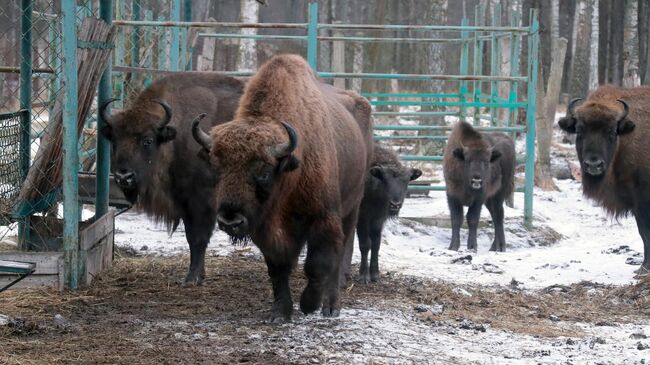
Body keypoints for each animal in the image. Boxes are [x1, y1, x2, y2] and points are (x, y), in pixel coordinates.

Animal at [98, 72, 243, 284]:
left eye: (148, 140)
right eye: (115, 140)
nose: (124, 176)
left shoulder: (202, 200)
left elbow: (199, 237)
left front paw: (191, 279)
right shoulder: (184, 201)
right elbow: (191, 237)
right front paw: (198, 275)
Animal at [192, 54, 372, 322]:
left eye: (265, 172)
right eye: (217, 168)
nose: (230, 221)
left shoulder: (324, 217)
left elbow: (317, 265)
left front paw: (308, 304)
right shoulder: (266, 228)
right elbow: (278, 269)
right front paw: (279, 313)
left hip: (352, 206)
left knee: (339, 256)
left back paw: (331, 307)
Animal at [354, 144, 420, 282]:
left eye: (406, 181)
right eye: (384, 179)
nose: (395, 204)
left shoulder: (378, 220)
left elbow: (376, 244)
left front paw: (375, 275)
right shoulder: (362, 218)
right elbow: (365, 244)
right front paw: (364, 276)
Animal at [442, 121, 512, 252]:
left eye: (486, 161)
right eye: (468, 160)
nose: (477, 178)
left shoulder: (479, 198)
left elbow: (472, 219)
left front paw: (472, 247)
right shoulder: (452, 195)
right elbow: (456, 219)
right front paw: (453, 247)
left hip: (499, 194)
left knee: (498, 215)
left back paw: (500, 247)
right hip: (489, 200)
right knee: (494, 215)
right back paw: (494, 247)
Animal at [556, 84, 648, 274]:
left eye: (612, 131)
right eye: (579, 130)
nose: (594, 164)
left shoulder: (643, 201)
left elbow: (646, 232)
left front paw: (644, 269)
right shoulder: (636, 203)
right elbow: (643, 233)